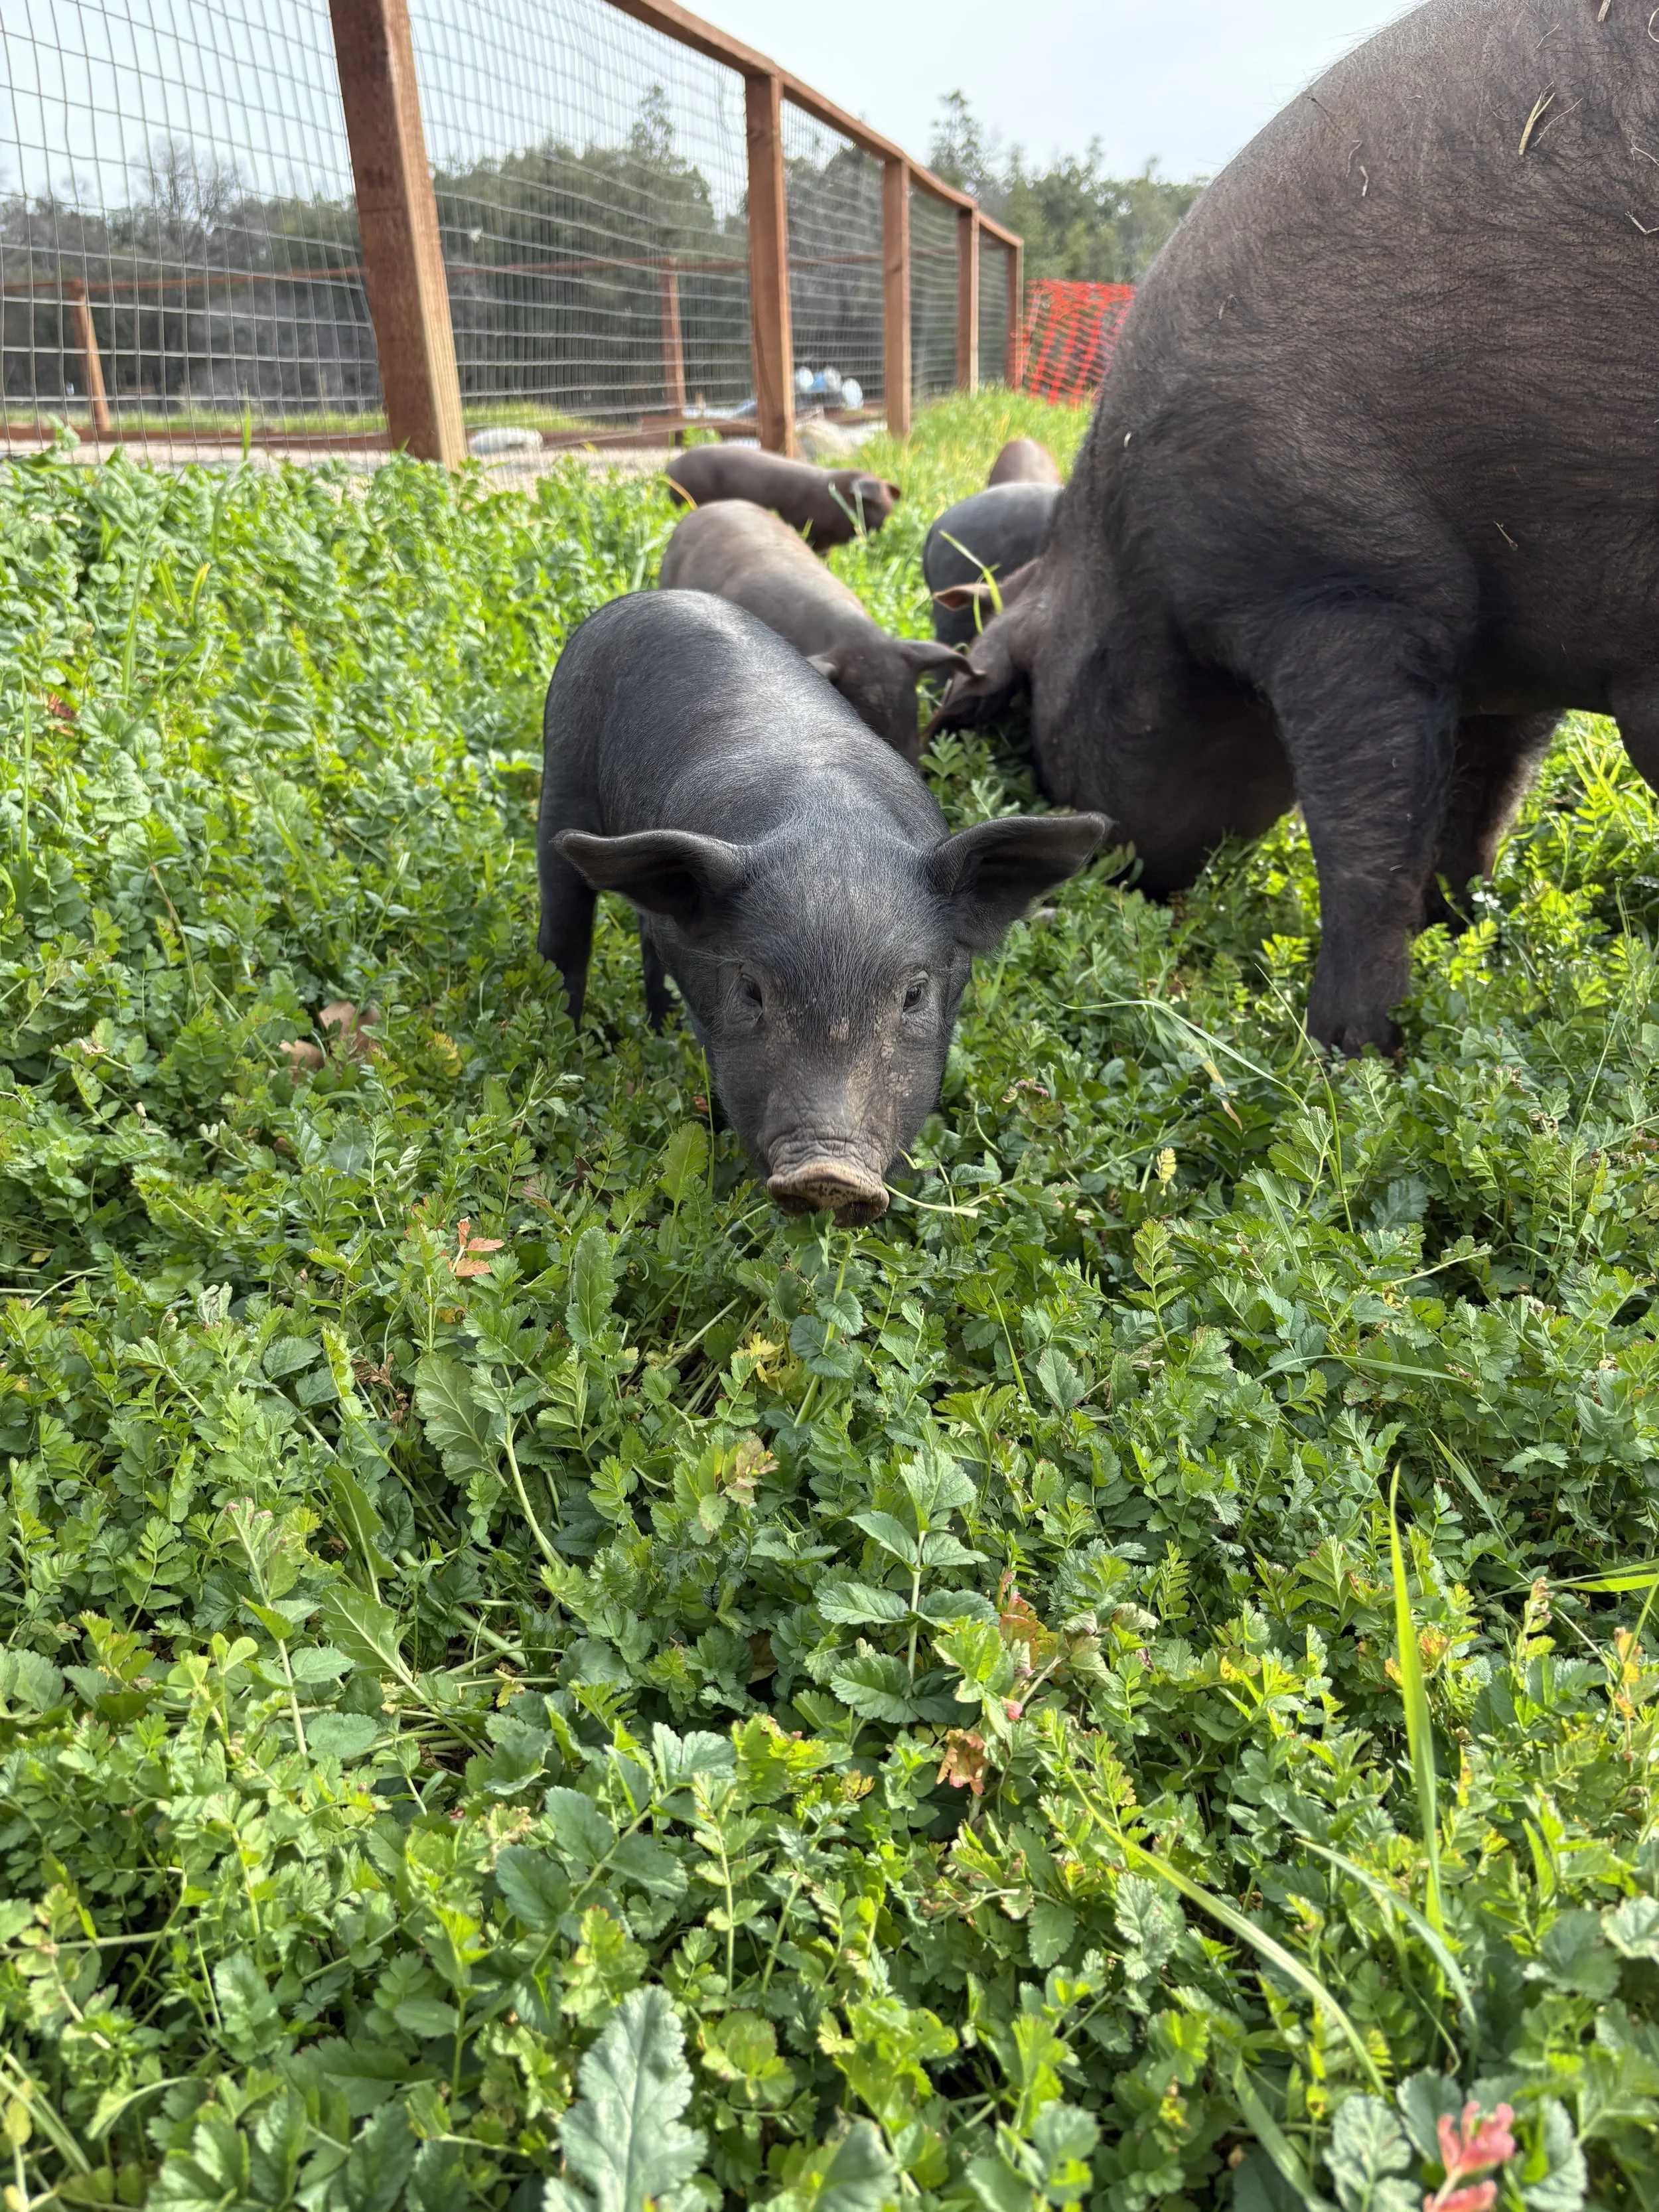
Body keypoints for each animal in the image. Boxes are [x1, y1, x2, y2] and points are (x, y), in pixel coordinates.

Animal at [536, 591, 1105, 1222]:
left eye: (914, 995)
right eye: (751, 990)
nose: (828, 1173)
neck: (830, 822)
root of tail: (648, 597)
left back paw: (658, 1025)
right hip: (561, 765)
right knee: (564, 931)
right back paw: (565, 1044)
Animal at [937, 0, 1659, 1056]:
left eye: (1035, 723)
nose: (1131, 890)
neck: (1129, 562)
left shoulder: (1342, 589)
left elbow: (1365, 842)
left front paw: (1343, 1053)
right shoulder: (1509, 656)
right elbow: (1481, 805)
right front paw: (1461, 938)